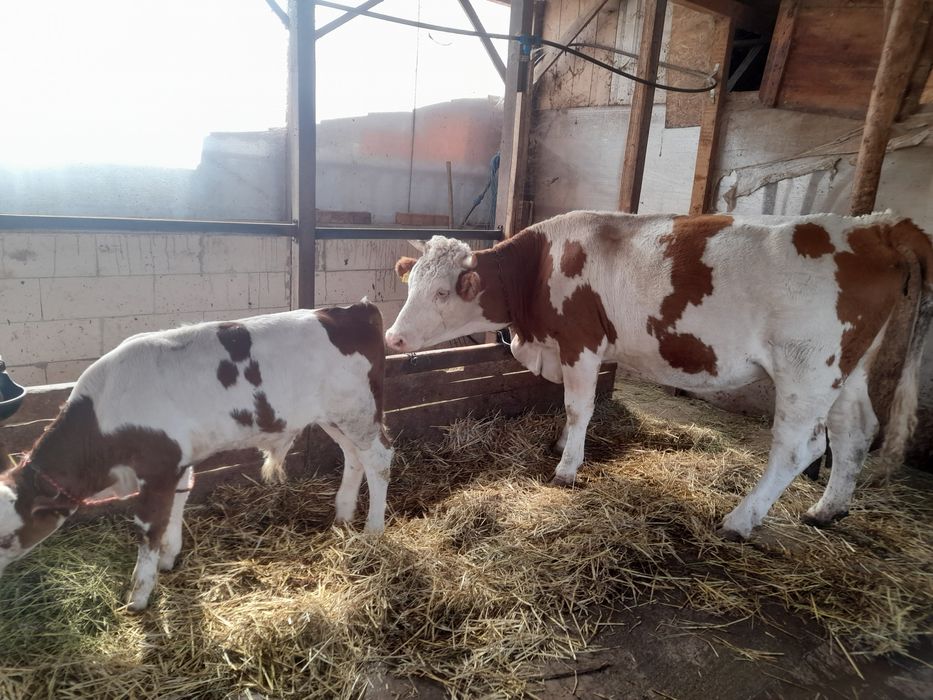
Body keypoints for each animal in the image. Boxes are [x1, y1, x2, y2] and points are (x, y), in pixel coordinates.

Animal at [0, 303, 393, 611]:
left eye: (5, 538)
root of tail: (352, 310)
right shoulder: (177, 463)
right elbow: (178, 503)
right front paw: (169, 558)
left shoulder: (158, 467)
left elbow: (149, 527)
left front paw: (138, 595)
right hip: (335, 417)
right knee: (353, 456)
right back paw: (343, 515)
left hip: (357, 410)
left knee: (379, 459)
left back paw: (373, 530)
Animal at [385, 211, 933, 540]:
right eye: (411, 286)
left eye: (441, 293)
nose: (392, 337)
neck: (540, 267)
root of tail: (873, 225)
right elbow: (572, 406)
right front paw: (561, 444)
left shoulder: (581, 341)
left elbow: (579, 406)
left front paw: (567, 466)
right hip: (846, 369)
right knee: (855, 432)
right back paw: (827, 510)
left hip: (807, 368)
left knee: (801, 446)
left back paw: (741, 519)